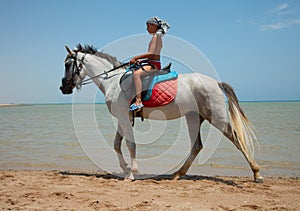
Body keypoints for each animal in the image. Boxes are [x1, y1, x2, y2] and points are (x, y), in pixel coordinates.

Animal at [59, 43, 264, 182]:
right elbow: (117, 144)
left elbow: (130, 144)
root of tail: (215, 82)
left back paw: (257, 173)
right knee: (197, 145)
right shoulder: (122, 118)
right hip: (194, 117)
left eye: (68, 64)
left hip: (216, 117)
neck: (113, 81)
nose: (63, 87)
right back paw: (178, 174)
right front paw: (125, 168)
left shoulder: (124, 117)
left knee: (235, 138)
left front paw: (131, 173)